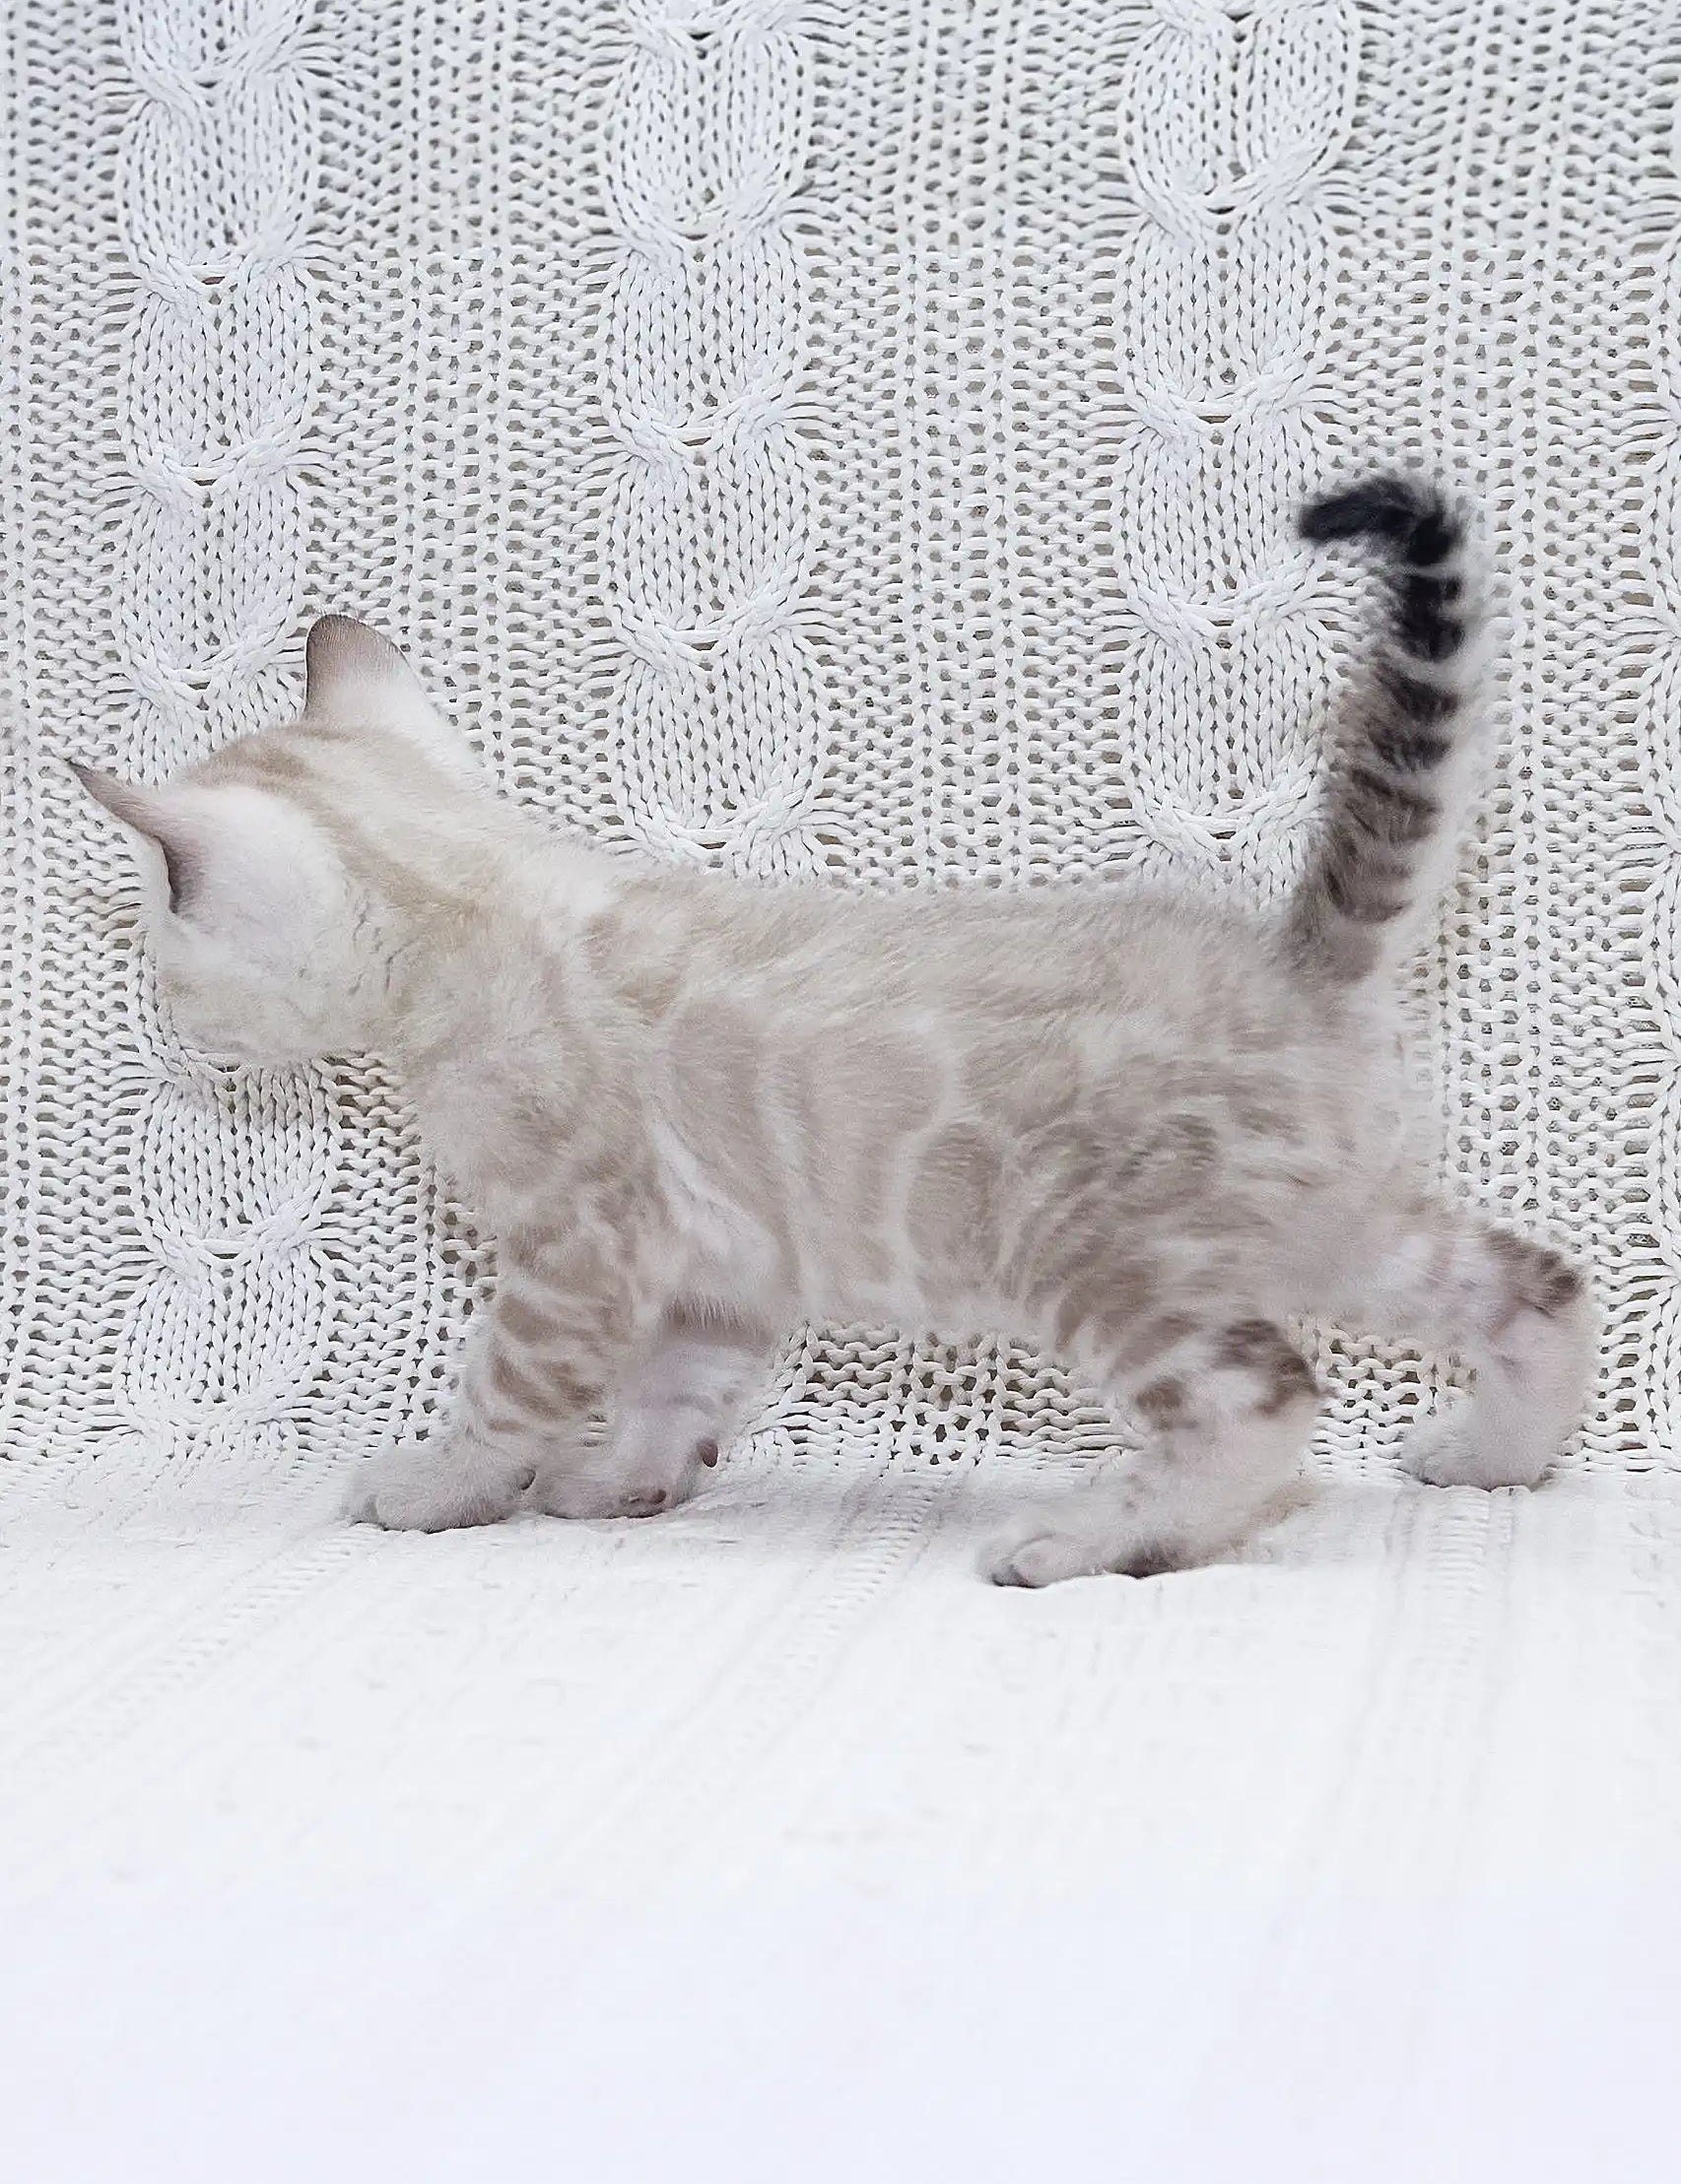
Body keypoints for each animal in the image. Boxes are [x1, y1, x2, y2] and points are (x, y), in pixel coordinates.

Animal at [75, 482, 1588, 1589]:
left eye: (166, 956)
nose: (172, 1024)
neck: (485, 899)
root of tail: (1294, 959)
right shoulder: (713, 1273)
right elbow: (672, 1395)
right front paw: (619, 1482)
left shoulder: (573, 1251)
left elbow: (505, 1390)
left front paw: (439, 1485)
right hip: (1329, 1227)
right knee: (1531, 1282)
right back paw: (1496, 1457)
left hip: (1106, 1257)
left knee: (1260, 1403)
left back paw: (1097, 1538)